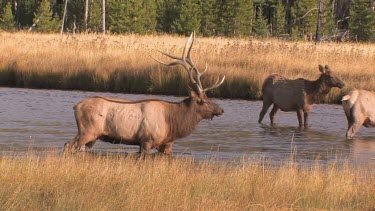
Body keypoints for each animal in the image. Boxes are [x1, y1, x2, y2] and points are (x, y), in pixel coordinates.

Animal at [64, 32, 226, 156]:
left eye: (208, 97)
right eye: (203, 101)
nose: (221, 110)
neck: (173, 122)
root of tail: (75, 107)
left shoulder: (167, 144)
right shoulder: (146, 141)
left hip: (94, 137)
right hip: (88, 131)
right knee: (67, 145)